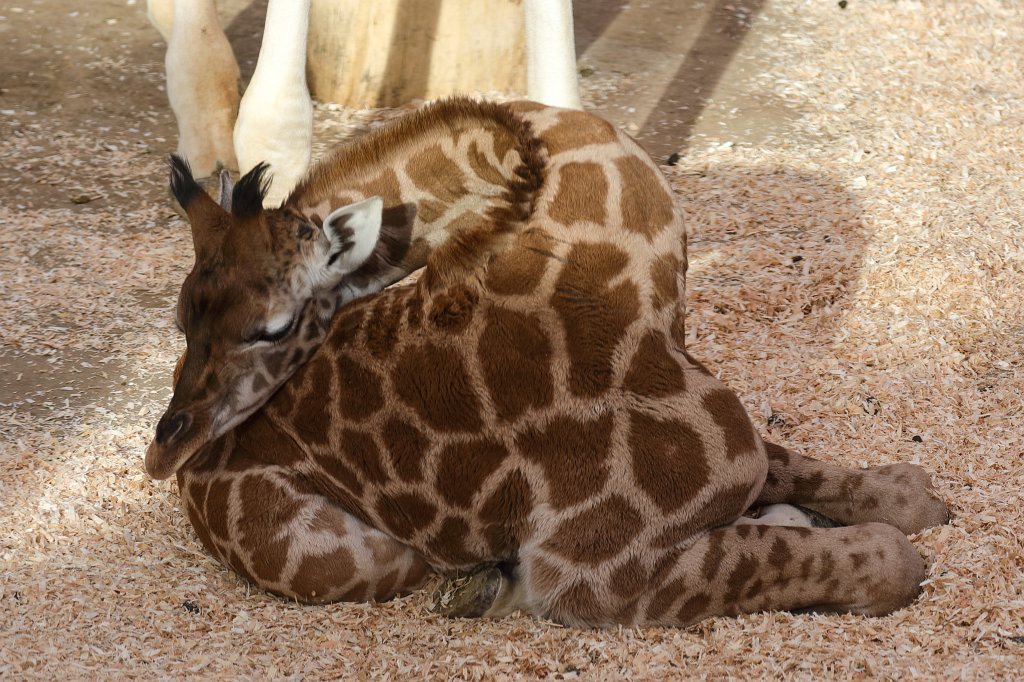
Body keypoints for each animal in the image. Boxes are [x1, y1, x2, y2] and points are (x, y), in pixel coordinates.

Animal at [147, 98, 950, 626]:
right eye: (181, 318)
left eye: (273, 328)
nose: (167, 450)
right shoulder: (598, 570)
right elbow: (877, 559)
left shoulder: (728, 431)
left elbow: (837, 478)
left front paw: (916, 495)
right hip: (357, 557)